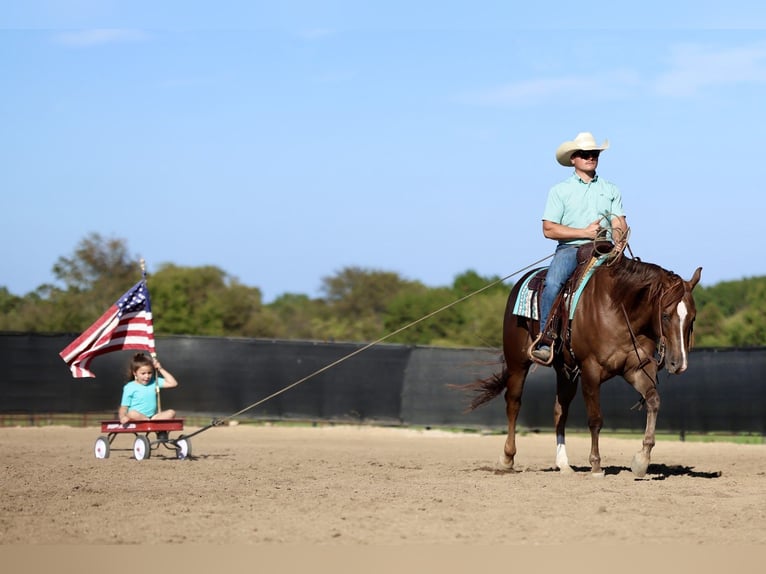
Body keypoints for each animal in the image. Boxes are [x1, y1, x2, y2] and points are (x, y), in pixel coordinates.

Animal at [461, 254, 702, 477]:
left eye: (692, 317)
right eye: (665, 315)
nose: (678, 364)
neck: (619, 309)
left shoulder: (636, 369)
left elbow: (653, 401)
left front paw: (642, 460)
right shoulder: (591, 371)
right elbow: (595, 419)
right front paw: (596, 465)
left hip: (565, 372)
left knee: (560, 410)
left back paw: (563, 464)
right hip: (517, 363)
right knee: (513, 403)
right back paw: (507, 458)